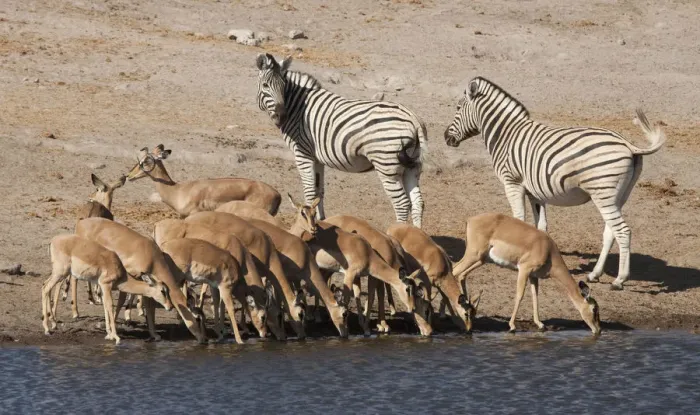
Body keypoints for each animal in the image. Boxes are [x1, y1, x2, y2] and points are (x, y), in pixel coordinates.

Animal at [255, 53, 427, 227]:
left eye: (283, 87)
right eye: (265, 85)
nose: (281, 116)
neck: (299, 108)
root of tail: (414, 119)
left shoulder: (303, 153)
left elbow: (309, 192)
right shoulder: (317, 158)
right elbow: (319, 192)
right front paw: (320, 220)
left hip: (386, 164)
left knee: (402, 204)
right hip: (412, 165)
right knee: (418, 202)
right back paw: (415, 233)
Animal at [444, 76, 666, 290]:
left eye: (458, 107)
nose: (446, 137)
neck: (507, 135)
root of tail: (628, 145)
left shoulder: (512, 182)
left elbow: (518, 218)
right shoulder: (534, 192)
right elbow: (540, 225)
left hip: (603, 193)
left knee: (623, 231)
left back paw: (620, 279)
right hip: (618, 196)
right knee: (610, 232)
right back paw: (594, 274)